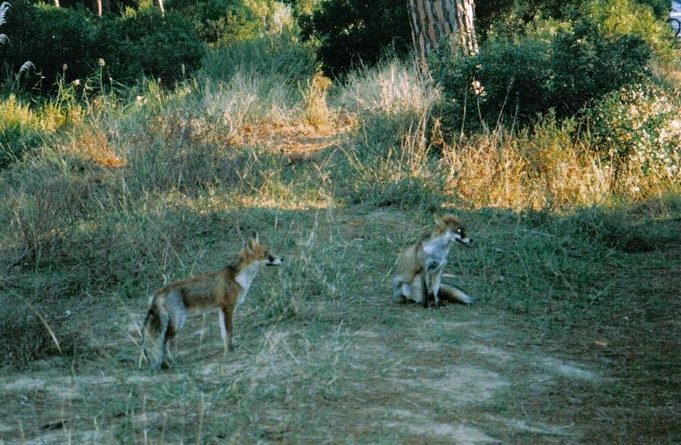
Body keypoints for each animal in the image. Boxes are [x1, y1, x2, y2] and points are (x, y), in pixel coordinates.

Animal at [143, 234, 282, 370]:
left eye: (270, 252)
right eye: (266, 253)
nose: (282, 259)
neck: (238, 278)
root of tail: (159, 292)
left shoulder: (221, 309)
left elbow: (224, 333)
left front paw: (227, 348)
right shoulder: (228, 307)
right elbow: (230, 330)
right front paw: (231, 349)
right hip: (178, 322)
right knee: (163, 341)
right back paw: (168, 363)